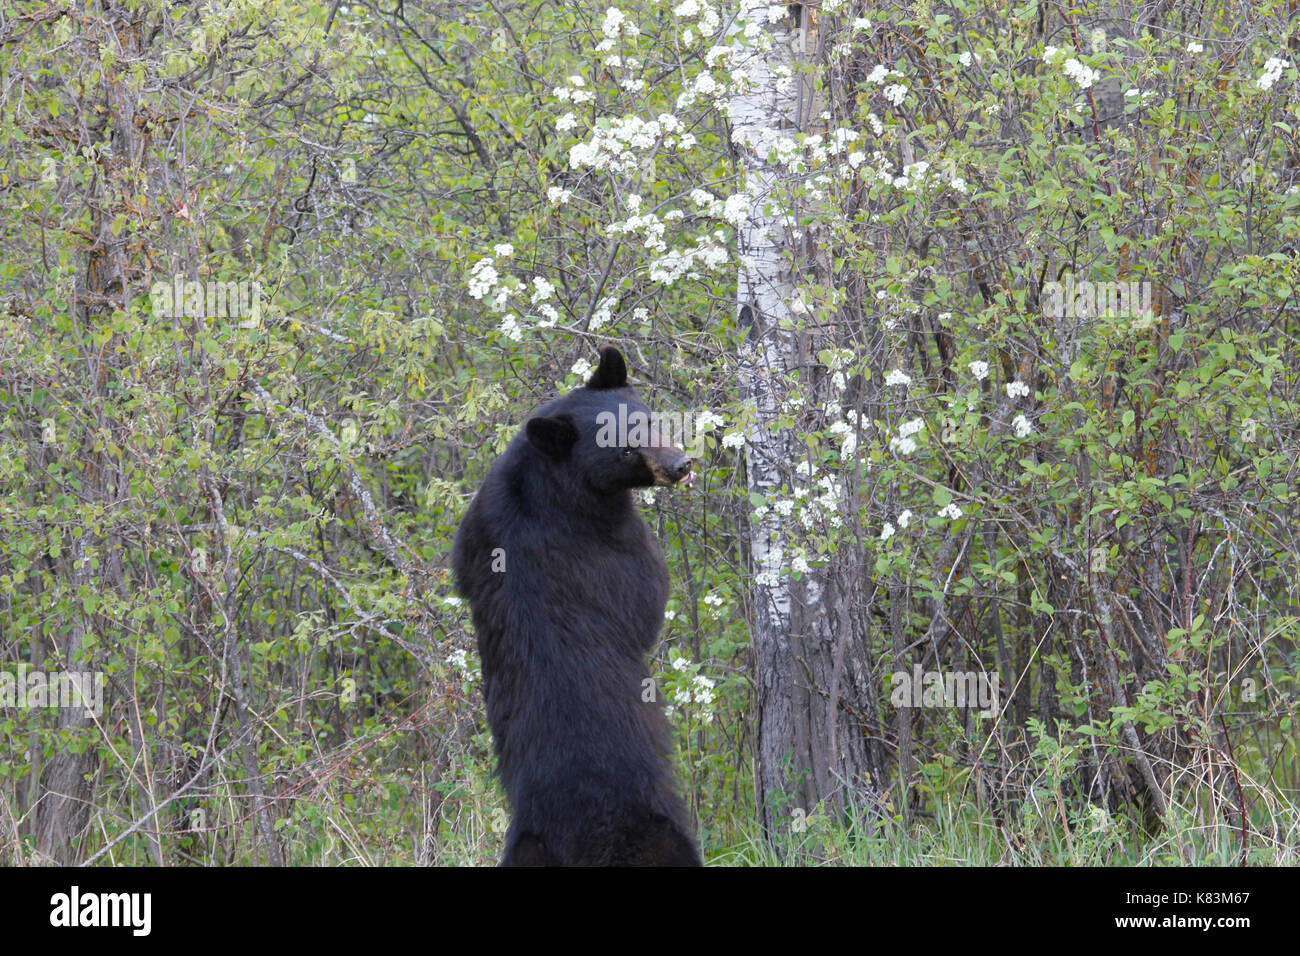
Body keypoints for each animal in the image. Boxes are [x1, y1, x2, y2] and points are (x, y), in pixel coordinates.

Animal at [454, 345, 702, 868]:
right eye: (623, 450)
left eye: (647, 420)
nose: (681, 464)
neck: (550, 482)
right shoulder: (606, 546)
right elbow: (647, 592)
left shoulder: (478, 523)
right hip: (655, 832)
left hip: (525, 849)